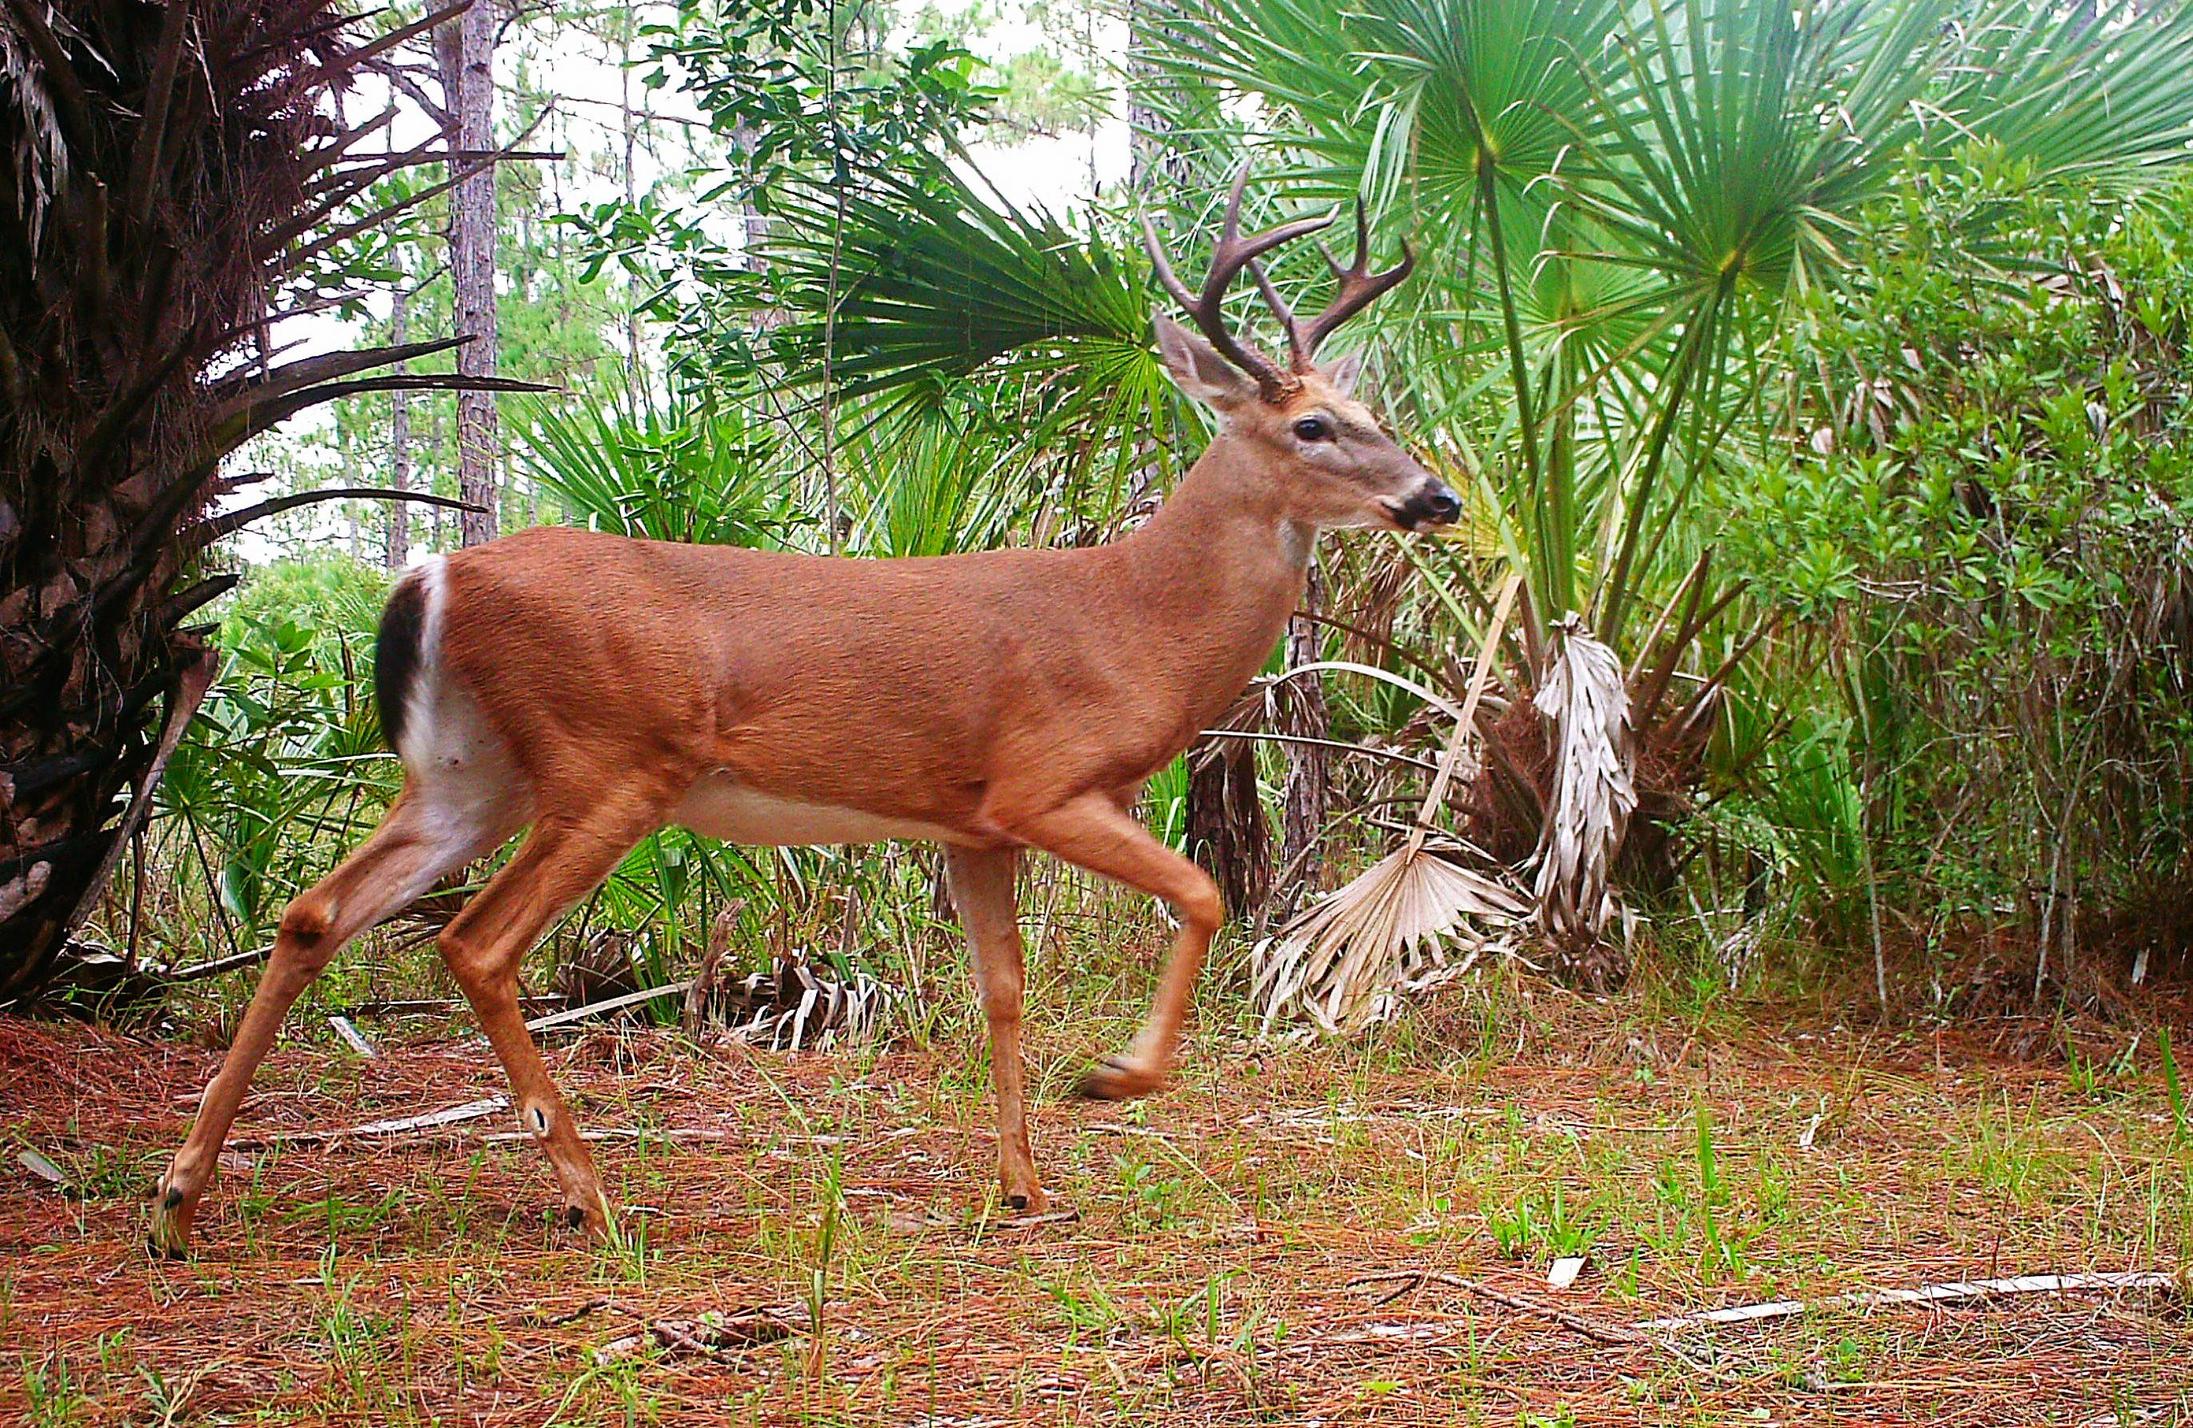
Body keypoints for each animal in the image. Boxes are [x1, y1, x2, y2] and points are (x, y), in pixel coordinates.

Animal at [154, 170, 1456, 1254]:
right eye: (1311, 426)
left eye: (1371, 411)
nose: (1436, 496)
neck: (1135, 626)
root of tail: (431, 576)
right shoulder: (1042, 784)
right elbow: (1205, 893)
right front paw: (1116, 1081)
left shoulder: (971, 826)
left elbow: (1003, 992)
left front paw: (1025, 1187)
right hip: (610, 759)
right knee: (475, 942)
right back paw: (585, 1192)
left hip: (471, 772)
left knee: (315, 915)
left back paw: (179, 1197)